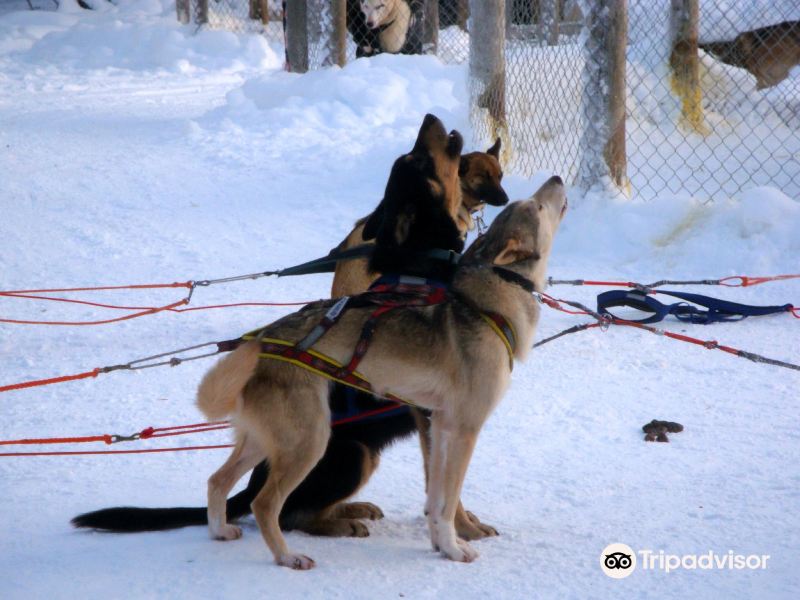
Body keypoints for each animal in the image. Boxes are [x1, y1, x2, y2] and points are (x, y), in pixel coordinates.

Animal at [196, 177, 564, 568]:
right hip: (311, 443)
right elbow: (448, 502)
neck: (485, 308)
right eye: (537, 206)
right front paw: (454, 547)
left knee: (217, 481)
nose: (556, 179)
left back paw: (220, 530)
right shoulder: (464, 430)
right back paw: (288, 555)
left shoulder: (438, 426)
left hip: (265, 440)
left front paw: (440, 543)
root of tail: (262, 342)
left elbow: (436, 500)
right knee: (265, 504)